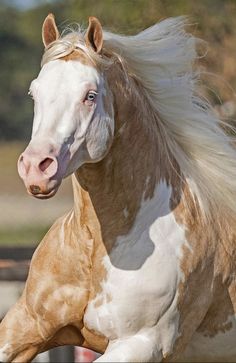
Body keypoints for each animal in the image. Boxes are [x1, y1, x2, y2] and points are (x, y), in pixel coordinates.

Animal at [0, 12, 236, 362]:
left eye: (90, 95)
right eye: (34, 93)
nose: (36, 167)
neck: (95, 248)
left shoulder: (140, 342)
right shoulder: (26, 322)